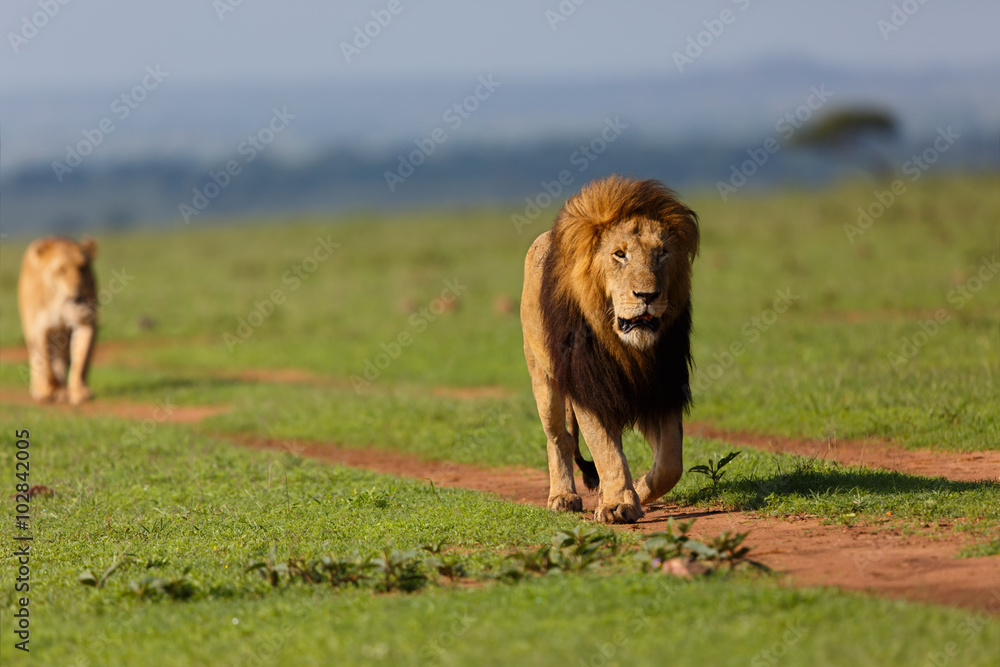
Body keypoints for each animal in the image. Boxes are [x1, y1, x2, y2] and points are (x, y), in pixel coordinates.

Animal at [18, 237, 99, 405]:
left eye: (83, 267)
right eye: (61, 270)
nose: (77, 296)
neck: (62, 301)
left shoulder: (85, 322)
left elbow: (81, 359)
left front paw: (78, 393)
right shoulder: (40, 328)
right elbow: (46, 363)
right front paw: (50, 390)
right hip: (30, 327)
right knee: (36, 356)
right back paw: (41, 389)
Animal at [521, 176, 699, 524]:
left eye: (662, 254)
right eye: (619, 254)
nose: (647, 295)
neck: (628, 349)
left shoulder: (663, 385)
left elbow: (671, 463)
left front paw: (634, 490)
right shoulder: (589, 386)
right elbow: (605, 449)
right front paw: (618, 503)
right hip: (543, 377)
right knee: (558, 438)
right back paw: (563, 496)